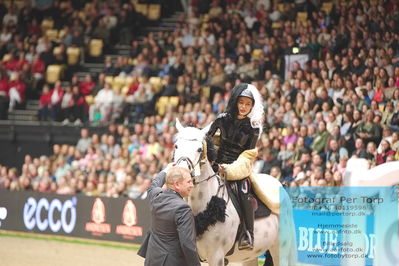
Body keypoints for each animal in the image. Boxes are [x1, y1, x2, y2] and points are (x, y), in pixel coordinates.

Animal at [172, 119, 296, 264]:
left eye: (199, 149)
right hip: (250, 257)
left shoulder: (216, 256)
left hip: (280, 251)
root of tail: (280, 184)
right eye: (176, 146)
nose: (181, 173)